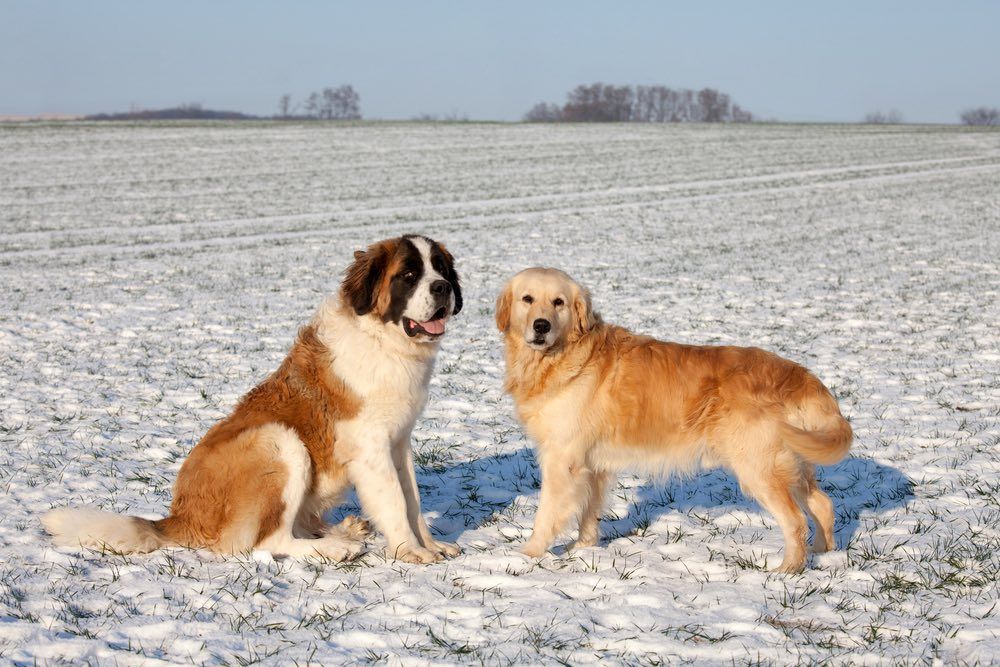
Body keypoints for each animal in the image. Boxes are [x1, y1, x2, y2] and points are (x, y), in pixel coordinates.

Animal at [46, 235, 464, 564]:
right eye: (408, 275)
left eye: (440, 269)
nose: (442, 287)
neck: (382, 339)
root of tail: (179, 515)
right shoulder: (371, 448)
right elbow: (394, 502)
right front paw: (411, 552)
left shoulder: (399, 442)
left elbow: (412, 498)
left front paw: (431, 544)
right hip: (279, 441)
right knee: (268, 539)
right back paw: (335, 548)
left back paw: (343, 532)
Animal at [496, 266, 848, 576]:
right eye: (527, 299)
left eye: (559, 302)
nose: (541, 326)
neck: (563, 357)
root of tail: (800, 375)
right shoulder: (592, 464)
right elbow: (588, 510)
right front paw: (584, 548)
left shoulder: (561, 459)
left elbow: (547, 512)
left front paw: (528, 555)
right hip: (793, 461)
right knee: (823, 504)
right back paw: (822, 553)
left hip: (758, 467)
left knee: (795, 520)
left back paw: (788, 570)